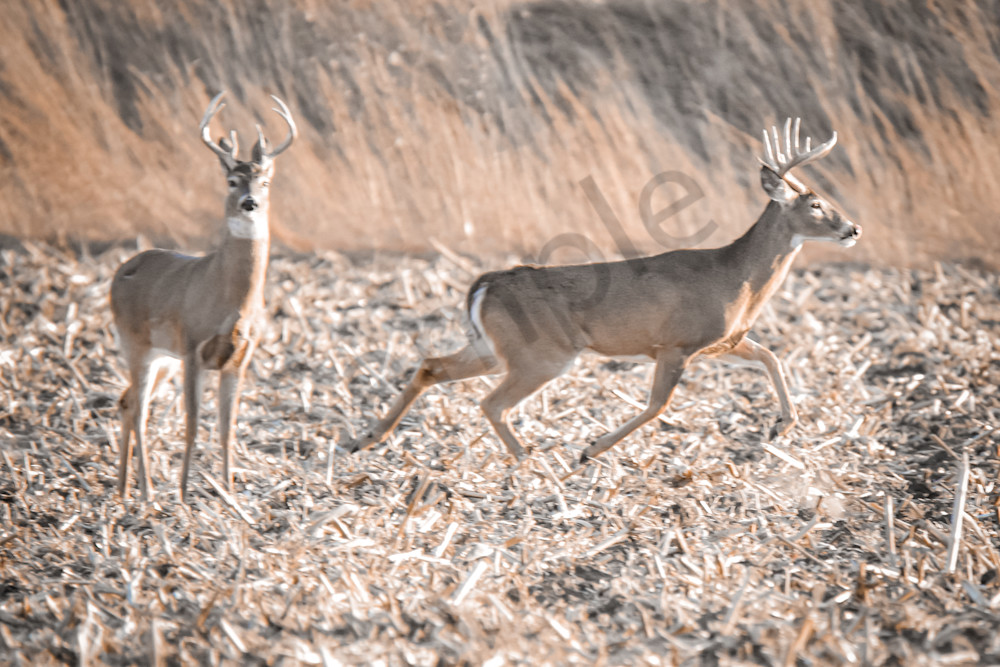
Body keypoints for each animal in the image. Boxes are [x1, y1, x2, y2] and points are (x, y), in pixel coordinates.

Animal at [111, 91, 296, 502]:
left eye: (266, 181)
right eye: (231, 180)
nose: (249, 203)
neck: (231, 302)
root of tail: (119, 272)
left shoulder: (240, 357)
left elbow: (228, 427)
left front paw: (229, 492)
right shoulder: (193, 345)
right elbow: (193, 423)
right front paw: (182, 495)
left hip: (163, 357)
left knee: (127, 401)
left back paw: (125, 489)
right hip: (136, 344)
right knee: (139, 409)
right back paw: (148, 492)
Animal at [345, 118, 860, 464]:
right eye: (816, 204)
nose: (853, 228)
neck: (737, 278)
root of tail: (485, 283)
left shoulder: (721, 341)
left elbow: (771, 357)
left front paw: (782, 425)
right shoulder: (676, 344)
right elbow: (657, 406)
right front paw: (590, 449)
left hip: (494, 347)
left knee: (432, 366)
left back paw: (367, 437)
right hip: (542, 354)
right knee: (491, 403)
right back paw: (529, 461)